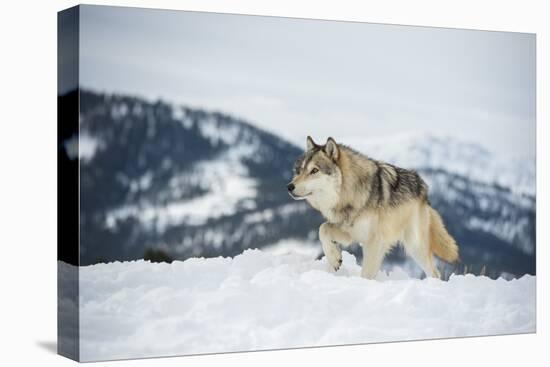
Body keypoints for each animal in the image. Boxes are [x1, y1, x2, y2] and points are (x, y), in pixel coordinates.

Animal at [288, 137, 462, 278]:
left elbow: (366, 274)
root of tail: (424, 189)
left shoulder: (373, 241)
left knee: (434, 272)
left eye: (314, 170)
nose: (289, 187)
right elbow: (322, 229)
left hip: (414, 246)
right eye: (299, 170)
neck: (350, 194)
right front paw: (335, 258)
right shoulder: (351, 234)